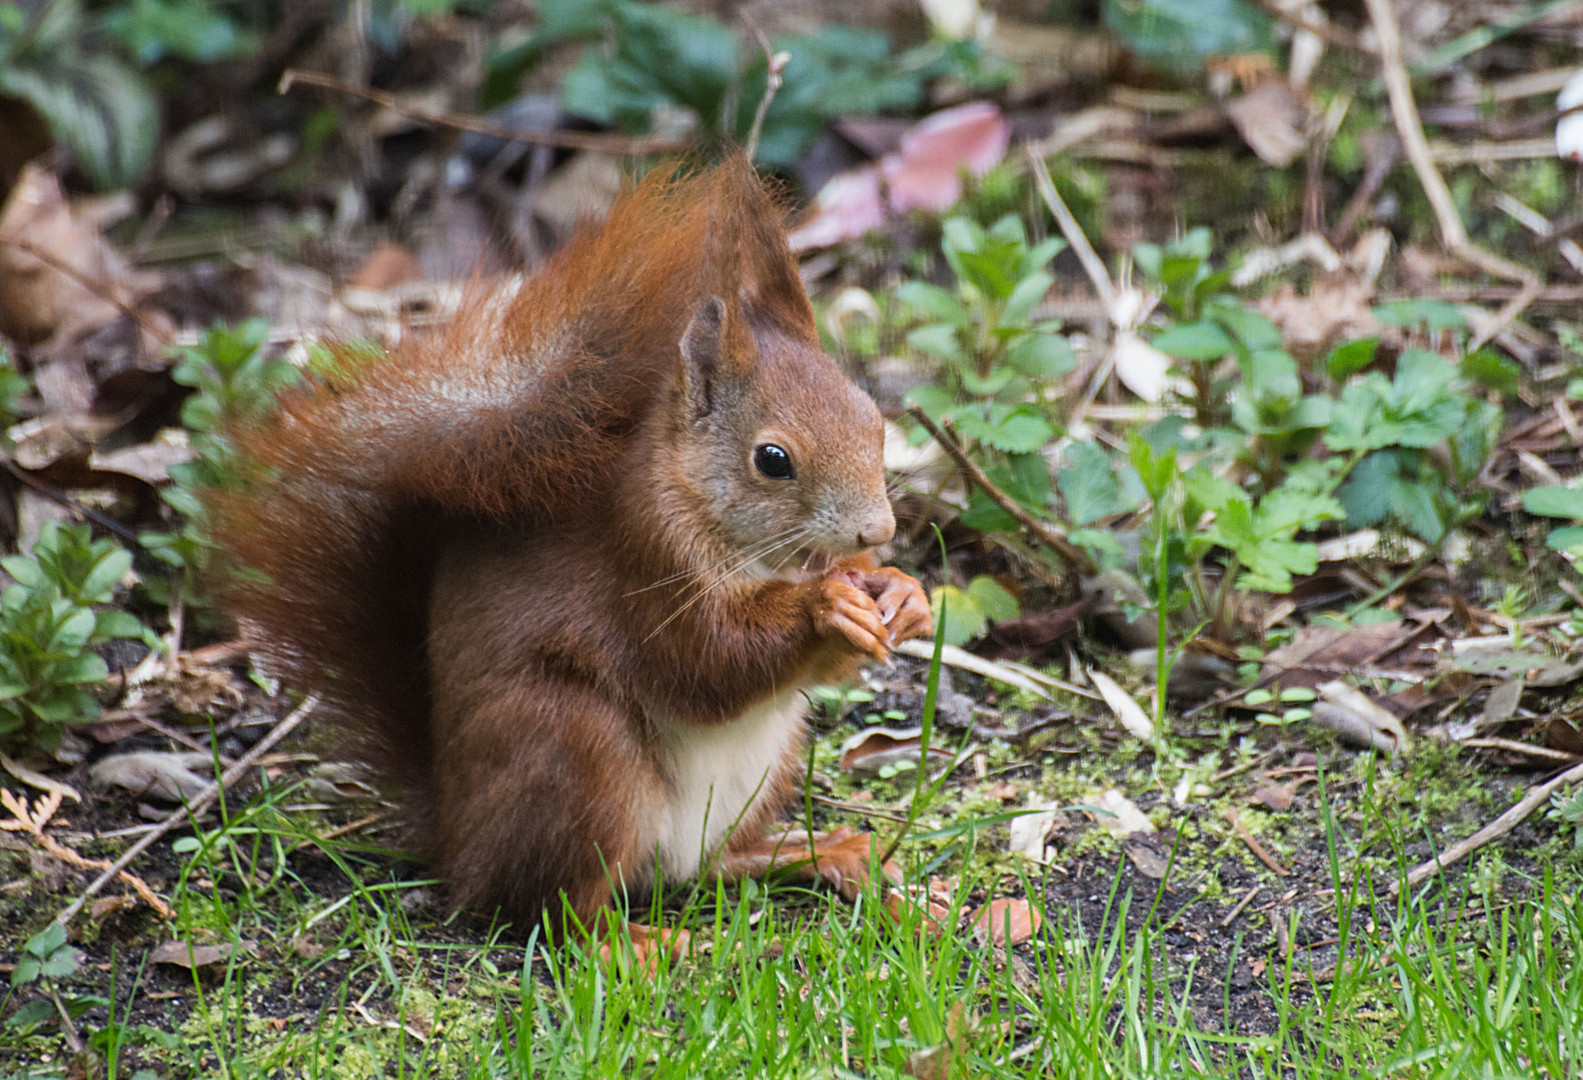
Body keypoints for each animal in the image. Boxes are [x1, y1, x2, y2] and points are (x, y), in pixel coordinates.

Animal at [208, 153, 924, 924]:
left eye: (872, 417)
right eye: (772, 459)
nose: (878, 529)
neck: (770, 559)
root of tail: (458, 846)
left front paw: (903, 595)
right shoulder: (644, 561)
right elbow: (709, 661)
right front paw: (828, 605)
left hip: (763, 768)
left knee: (712, 867)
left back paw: (815, 854)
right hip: (573, 751)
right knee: (554, 910)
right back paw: (635, 940)